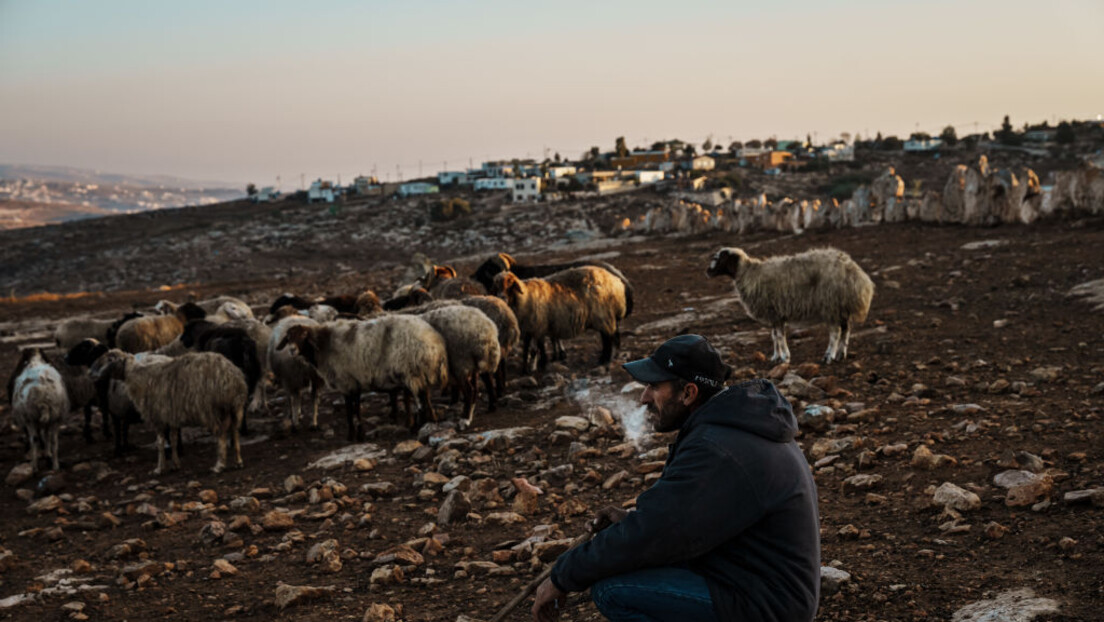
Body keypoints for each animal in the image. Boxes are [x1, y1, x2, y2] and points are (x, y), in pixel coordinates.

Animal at [91, 349, 248, 475]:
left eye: (107, 359)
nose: (91, 374)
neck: (136, 375)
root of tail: (233, 379)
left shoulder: (157, 416)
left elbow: (160, 443)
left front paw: (159, 469)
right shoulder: (171, 415)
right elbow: (172, 439)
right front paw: (176, 464)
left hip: (212, 409)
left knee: (221, 434)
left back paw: (219, 465)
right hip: (235, 409)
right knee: (235, 431)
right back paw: (238, 461)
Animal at [276, 315, 448, 437]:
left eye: (303, 336)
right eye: (288, 337)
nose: (292, 350)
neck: (325, 344)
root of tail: (436, 343)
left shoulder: (345, 382)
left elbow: (349, 410)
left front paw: (351, 435)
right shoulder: (355, 382)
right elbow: (356, 408)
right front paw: (359, 432)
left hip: (411, 372)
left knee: (420, 401)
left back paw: (418, 426)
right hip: (420, 373)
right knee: (426, 397)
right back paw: (430, 421)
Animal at [492, 264, 631, 369]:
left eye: (510, 284)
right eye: (496, 286)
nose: (501, 297)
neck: (524, 297)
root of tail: (617, 282)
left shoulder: (539, 326)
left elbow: (540, 346)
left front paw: (543, 364)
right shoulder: (529, 329)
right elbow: (528, 348)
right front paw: (527, 367)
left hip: (603, 315)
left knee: (608, 338)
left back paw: (605, 359)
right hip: (604, 317)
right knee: (608, 337)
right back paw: (605, 357)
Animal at [706, 247, 878, 364]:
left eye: (718, 258)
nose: (707, 271)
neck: (749, 273)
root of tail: (855, 273)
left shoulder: (774, 311)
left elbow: (779, 336)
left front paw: (784, 357)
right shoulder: (774, 313)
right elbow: (774, 335)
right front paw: (776, 356)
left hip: (831, 304)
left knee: (835, 333)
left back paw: (828, 356)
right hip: (842, 306)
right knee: (846, 330)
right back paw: (841, 355)